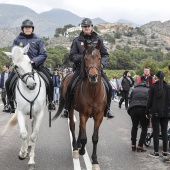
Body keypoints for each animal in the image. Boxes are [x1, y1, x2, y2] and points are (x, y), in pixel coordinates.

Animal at [52, 40, 106, 170]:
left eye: (99, 57)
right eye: (85, 58)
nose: (93, 76)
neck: (93, 92)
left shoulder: (99, 116)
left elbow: (94, 138)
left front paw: (95, 161)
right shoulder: (83, 114)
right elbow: (84, 137)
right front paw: (81, 150)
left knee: (81, 128)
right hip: (71, 109)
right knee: (72, 125)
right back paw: (76, 147)